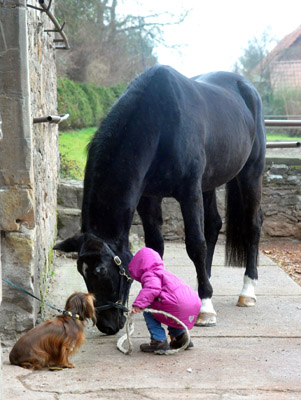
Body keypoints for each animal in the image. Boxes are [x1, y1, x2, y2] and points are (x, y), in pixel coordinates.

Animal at [54, 65, 264, 334]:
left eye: (102, 271)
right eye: (81, 272)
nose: (107, 326)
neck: (160, 124)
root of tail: (246, 88)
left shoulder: (189, 192)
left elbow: (195, 245)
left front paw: (206, 309)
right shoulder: (149, 197)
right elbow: (155, 247)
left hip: (250, 173)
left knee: (252, 225)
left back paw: (246, 292)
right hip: (209, 183)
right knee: (214, 225)